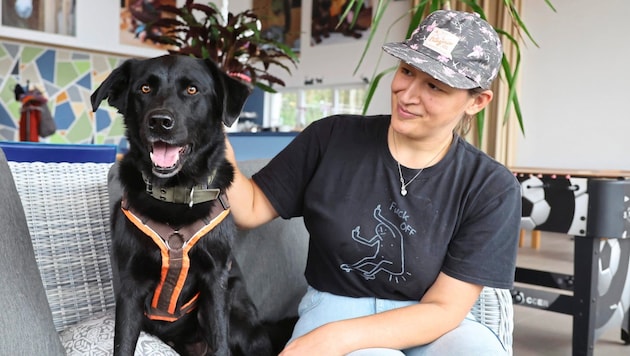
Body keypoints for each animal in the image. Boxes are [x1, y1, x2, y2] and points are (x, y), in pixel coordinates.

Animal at [92, 54, 274, 354]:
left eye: (192, 90)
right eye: (144, 89)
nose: (159, 121)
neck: (175, 194)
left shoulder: (215, 281)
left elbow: (221, 344)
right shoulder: (131, 287)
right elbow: (124, 344)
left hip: (235, 310)